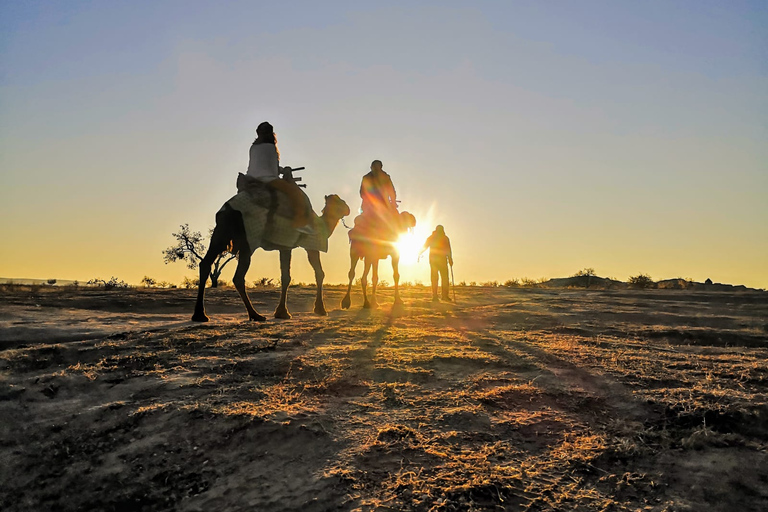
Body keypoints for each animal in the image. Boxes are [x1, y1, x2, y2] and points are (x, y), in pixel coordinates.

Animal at [192, 193, 350, 322]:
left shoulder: (285, 246)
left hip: (220, 233)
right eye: (341, 202)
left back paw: (200, 315)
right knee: (238, 276)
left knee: (205, 264)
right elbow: (319, 273)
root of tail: (228, 209)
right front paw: (320, 309)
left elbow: (285, 276)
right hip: (249, 239)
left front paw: (282, 312)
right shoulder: (310, 243)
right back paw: (255, 315)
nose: (348, 209)